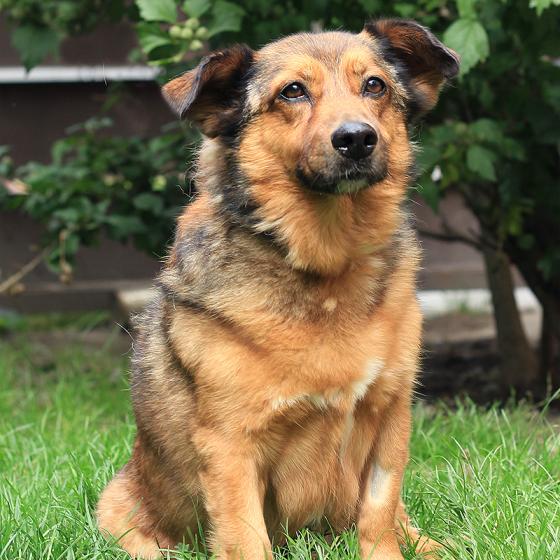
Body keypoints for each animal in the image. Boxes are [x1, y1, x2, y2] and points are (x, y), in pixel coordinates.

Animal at [96, 18, 459, 560]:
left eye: (375, 85)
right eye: (293, 91)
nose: (357, 139)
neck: (327, 267)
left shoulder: (390, 417)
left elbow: (378, 517)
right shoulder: (230, 446)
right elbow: (247, 540)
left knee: (402, 520)